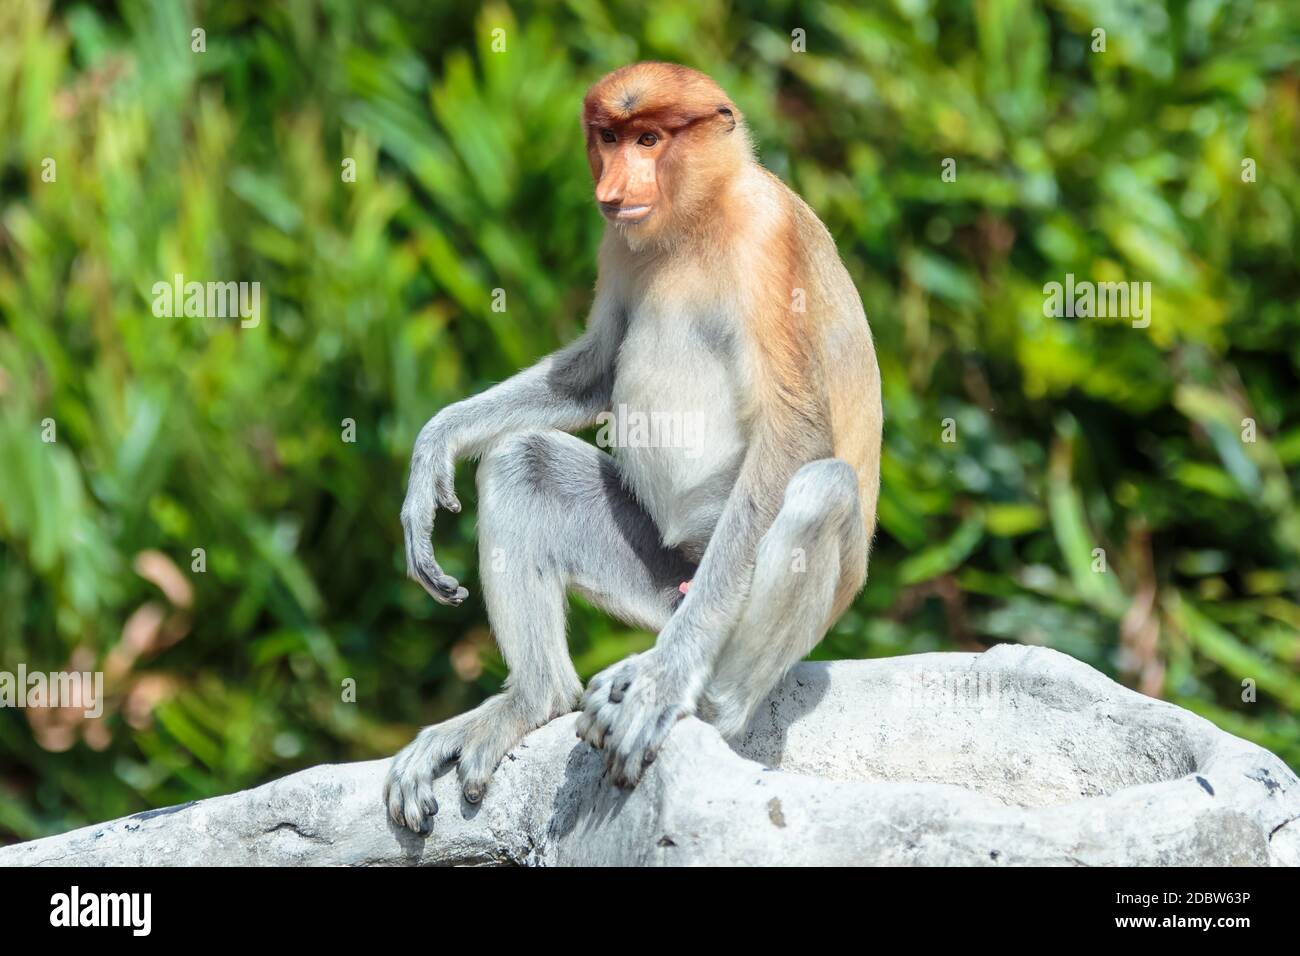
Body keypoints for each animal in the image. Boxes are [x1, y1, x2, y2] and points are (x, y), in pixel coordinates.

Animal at [379, 63, 878, 832]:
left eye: (650, 139)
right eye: (609, 139)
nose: (616, 187)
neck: (698, 219)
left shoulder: (767, 235)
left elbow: (794, 430)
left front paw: (660, 687)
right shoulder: (617, 240)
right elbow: (595, 369)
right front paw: (434, 449)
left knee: (821, 488)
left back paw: (700, 701)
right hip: (656, 577)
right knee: (524, 460)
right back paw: (531, 701)